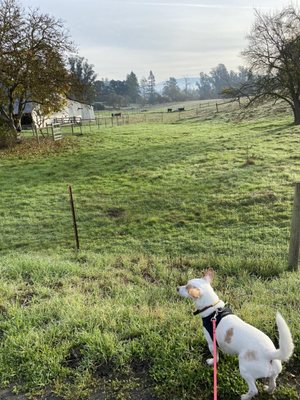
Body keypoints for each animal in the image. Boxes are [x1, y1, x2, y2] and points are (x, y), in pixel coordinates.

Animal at [177, 268, 294, 400]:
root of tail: (270, 353)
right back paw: (268, 389)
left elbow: (216, 356)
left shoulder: (211, 343)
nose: (177, 288)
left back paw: (245, 396)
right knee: (273, 383)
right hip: (274, 371)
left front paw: (212, 362)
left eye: (186, 287)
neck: (213, 309)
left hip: (244, 369)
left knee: (254, 390)